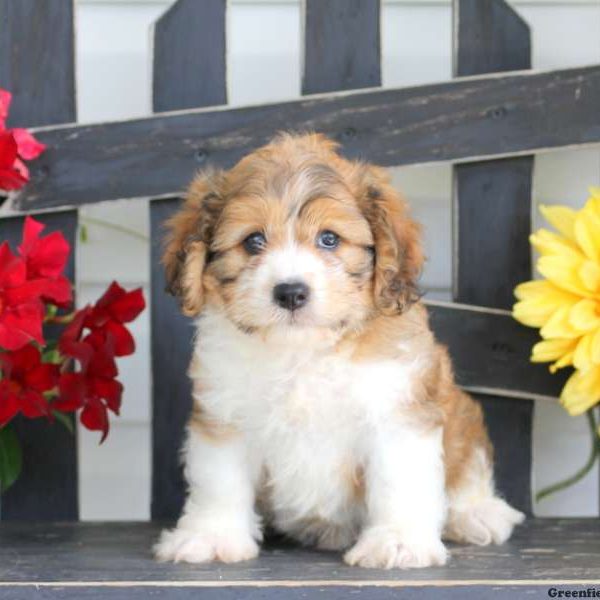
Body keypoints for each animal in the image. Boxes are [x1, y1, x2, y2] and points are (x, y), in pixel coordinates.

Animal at [155, 134, 524, 568]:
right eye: (253, 241)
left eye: (329, 239)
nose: (290, 292)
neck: (303, 351)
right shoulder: (224, 415)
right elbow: (220, 480)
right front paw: (212, 536)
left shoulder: (397, 411)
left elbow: (399, 480)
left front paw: (398, 541)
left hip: (461, 420)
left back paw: (477, 513)